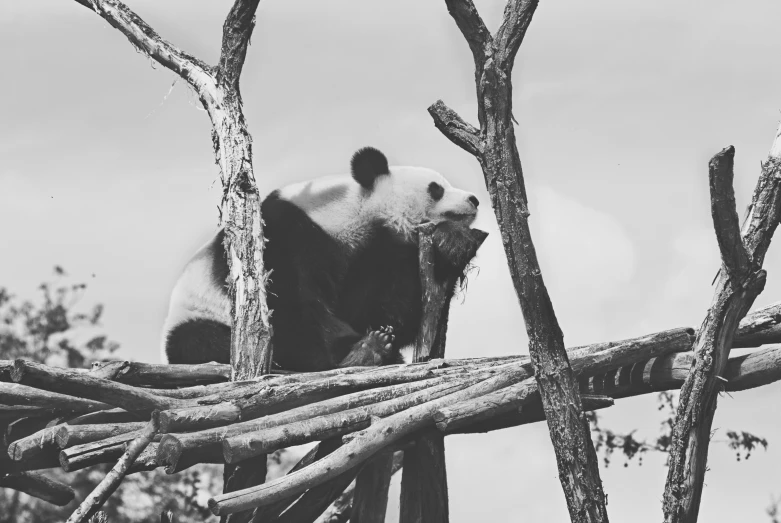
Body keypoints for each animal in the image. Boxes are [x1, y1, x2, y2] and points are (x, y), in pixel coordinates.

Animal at [162, 147, 484, 372]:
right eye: (436, 188)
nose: (474, 199)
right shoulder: (287, 234)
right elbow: (288, 303)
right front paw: (336, 357)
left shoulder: (370, 256)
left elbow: (378, 308)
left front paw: (454, 244)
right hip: (197, 317)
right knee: (200, 340)